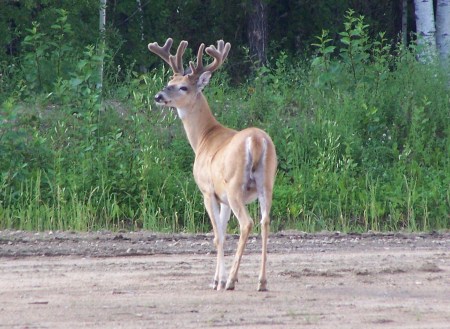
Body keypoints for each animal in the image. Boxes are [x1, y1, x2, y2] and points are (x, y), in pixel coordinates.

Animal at [148, 37, 276, 290]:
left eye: (183, 87)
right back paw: (262, 281)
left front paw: (218, 280)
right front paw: (219, 277)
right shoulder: (223, 197)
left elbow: (217, 235)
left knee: (247, 224)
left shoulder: (207, 191)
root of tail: (257, 140)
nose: (158, 96)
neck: (204, 138)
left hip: (236, 185)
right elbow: (224, 233)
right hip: (266, 183)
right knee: (265, 222)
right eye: (170, 81)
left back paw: (233, 281)